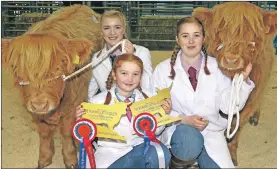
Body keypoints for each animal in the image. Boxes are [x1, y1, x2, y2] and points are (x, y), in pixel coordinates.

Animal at [1, 4, 103, 168]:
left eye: (58, 69)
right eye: (18, 70)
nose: (40, 105)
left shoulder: (74, 102)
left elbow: (67, 131)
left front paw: (70, 159)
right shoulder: (32, 109)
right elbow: (43, 133)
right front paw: (44, 158)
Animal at [192, 1, 276, 166]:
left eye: (253, 34)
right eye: (220, 29)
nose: (231, 59)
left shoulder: (252, 97)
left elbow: (236, 124)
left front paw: (231, 154)